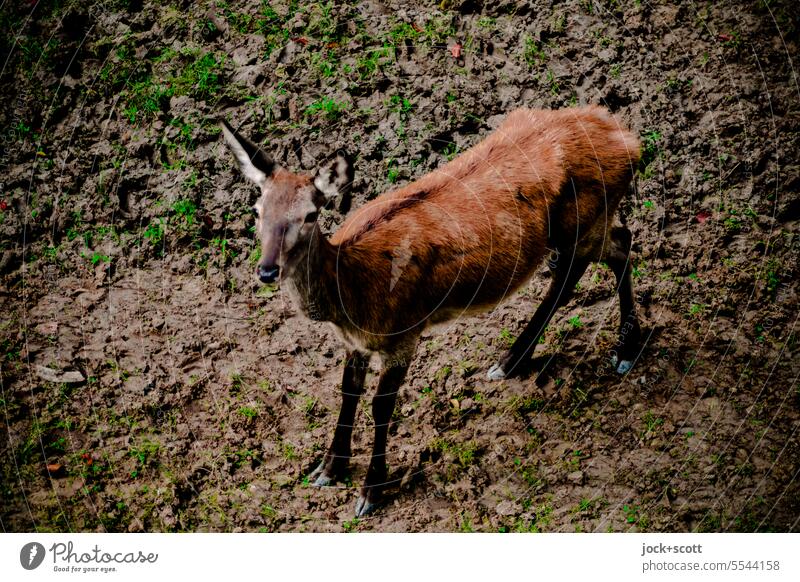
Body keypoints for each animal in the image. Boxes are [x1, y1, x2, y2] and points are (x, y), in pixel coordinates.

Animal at [220, 107, 644, 516]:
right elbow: (347, 393)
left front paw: (371, 492)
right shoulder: (356, 342)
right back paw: (514, 361)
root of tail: (628, 137)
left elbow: (381, 406)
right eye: (257, 209)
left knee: (613, 248)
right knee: (599, 253)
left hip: (587, 218)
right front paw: (328, 468)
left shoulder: (404, 332)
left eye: (310, 215)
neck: (352, 296)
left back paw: (623, 351)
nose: (267, 270)